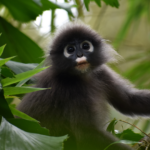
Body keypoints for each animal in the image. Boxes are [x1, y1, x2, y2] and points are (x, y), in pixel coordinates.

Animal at [16, 24, 150, 149]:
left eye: (85, 46)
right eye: (70, 49)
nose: (80, 54)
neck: (81, 76)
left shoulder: (101, 73)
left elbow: (128, 100)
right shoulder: (71, 89)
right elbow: (87, 133)